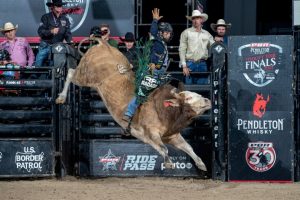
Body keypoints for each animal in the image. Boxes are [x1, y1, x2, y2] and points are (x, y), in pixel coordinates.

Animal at [55, 38, 211, 170]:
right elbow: (163, 148)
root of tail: (103, 45)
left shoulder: (172, 136)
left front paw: (201, 164)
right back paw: (61, 97)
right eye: (189, 98)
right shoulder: (151, 133)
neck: (164, 111)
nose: (208, 100)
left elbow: (188, 147)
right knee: (70, 72)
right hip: (85, 76)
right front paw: (168, 163)